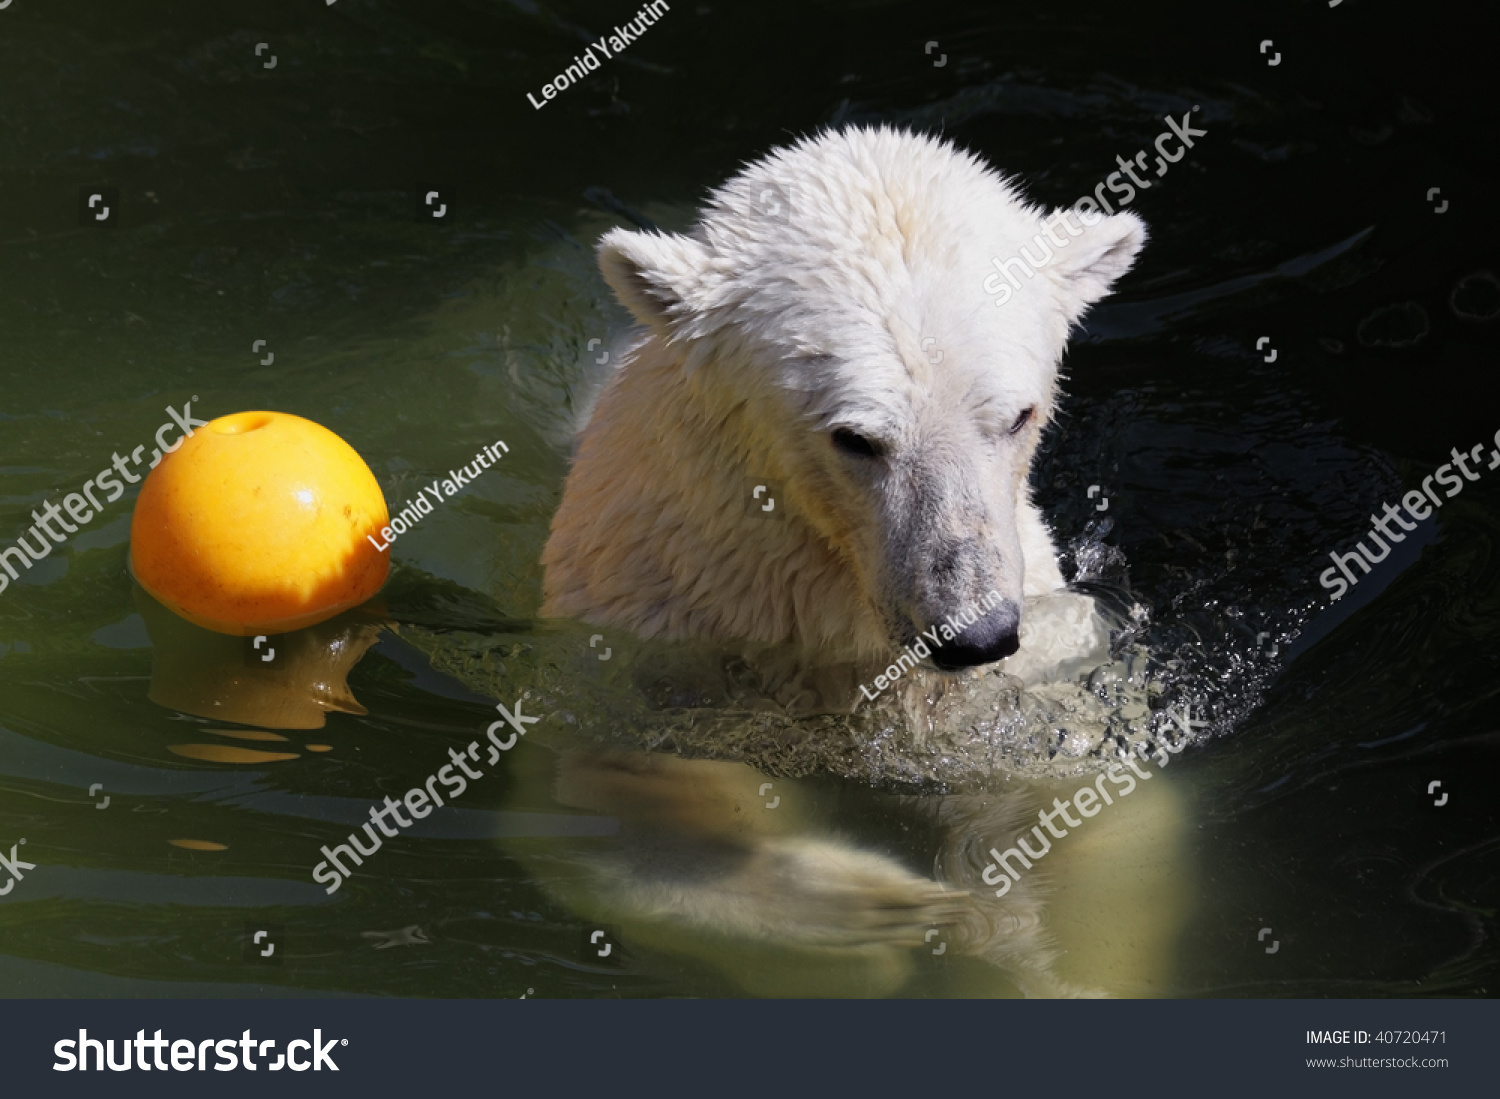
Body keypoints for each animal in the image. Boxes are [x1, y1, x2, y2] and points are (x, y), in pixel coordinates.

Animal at [522, 126, 1188, 995]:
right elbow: (613, 792)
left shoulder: (1041, 663)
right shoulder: (651, 613)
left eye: (1018, 414)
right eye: (856, 437)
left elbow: (1100, 799)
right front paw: (875, 910)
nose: (973, 633)